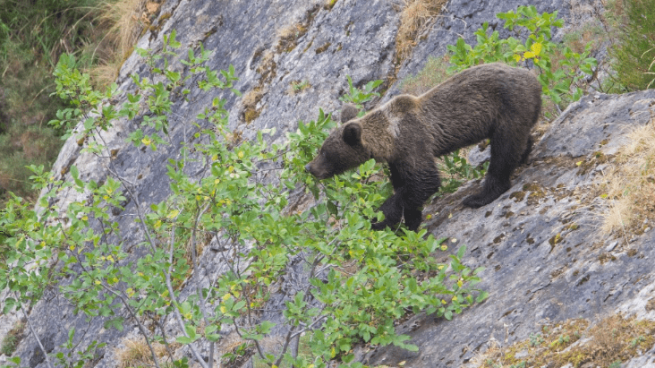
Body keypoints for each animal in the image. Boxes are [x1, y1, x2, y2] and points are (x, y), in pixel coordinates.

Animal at [308, 62, 544, 231]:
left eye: (325, 152)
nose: (309, 167)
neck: (389, 138)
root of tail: (533, 77)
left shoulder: (413, 141)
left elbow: (424, 182)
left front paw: (379, 218)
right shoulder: (397, 159)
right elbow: (408, 187)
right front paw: (409, 223)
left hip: (509, 106)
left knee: (503, 150)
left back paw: (479, 196)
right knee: (516, 142)